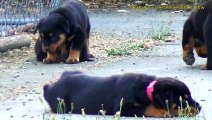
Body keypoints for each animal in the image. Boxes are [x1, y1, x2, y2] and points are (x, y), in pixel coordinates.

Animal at [43, 71, 202, 117]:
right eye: (184, 99)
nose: (200, 107)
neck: (146, 89)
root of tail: (49, 87)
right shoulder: (122, 108)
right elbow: (148, 108)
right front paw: (165, 112)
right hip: (61, 104)